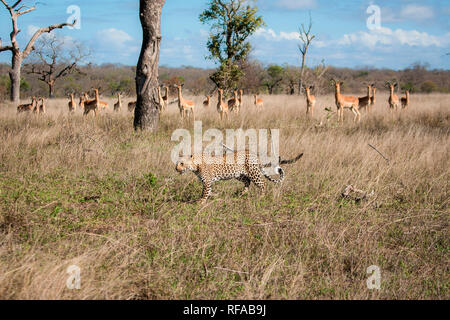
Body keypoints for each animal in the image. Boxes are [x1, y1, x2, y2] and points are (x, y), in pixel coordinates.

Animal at [174, 149, 304, 202]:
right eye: (177, 163)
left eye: (182, 163)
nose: (176, 169)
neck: (195, 165)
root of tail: (253, 154)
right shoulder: (208, 182)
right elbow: (209, 191)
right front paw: (216, 196)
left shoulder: (207, 181)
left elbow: (205, 193)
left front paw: (200, 202)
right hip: (239, 174)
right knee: (247, 182)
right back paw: (240, 194)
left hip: (254, 173)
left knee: (263, 184)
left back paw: (261, 197)